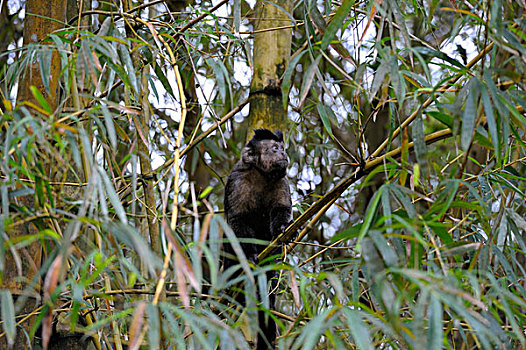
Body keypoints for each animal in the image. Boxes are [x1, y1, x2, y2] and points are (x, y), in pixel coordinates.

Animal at [225, 129, 294, 350]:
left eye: (282, 148)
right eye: (274, 148)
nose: (283, 153)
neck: (262, 174)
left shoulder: (282, 181)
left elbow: (281, 210)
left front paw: (283, 229)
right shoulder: (237, 179)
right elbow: (238, 220)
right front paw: (249, 256)